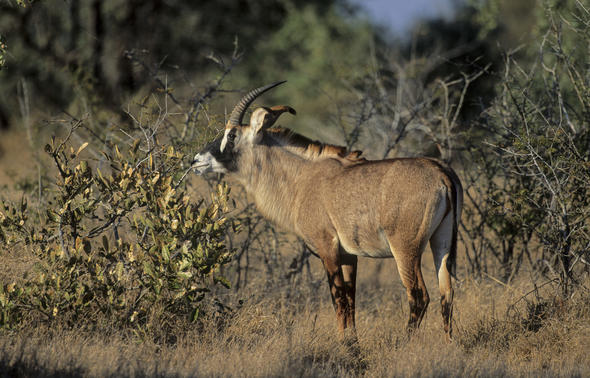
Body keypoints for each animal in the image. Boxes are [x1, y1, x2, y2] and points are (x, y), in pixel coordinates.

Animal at [192, 81, 464, 342]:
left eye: (232, 135)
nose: (196, 160)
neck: (302, 178)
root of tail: (440, 172)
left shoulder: (327, 248)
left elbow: (339, 300)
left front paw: (344, 345)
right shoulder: (349, 256)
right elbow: (351, 301)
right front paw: (353, 343)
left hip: (405, 249)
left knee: (418, 295)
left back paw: (404, 343)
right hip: (441, 243)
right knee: (446, 292)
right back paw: (449, 345)